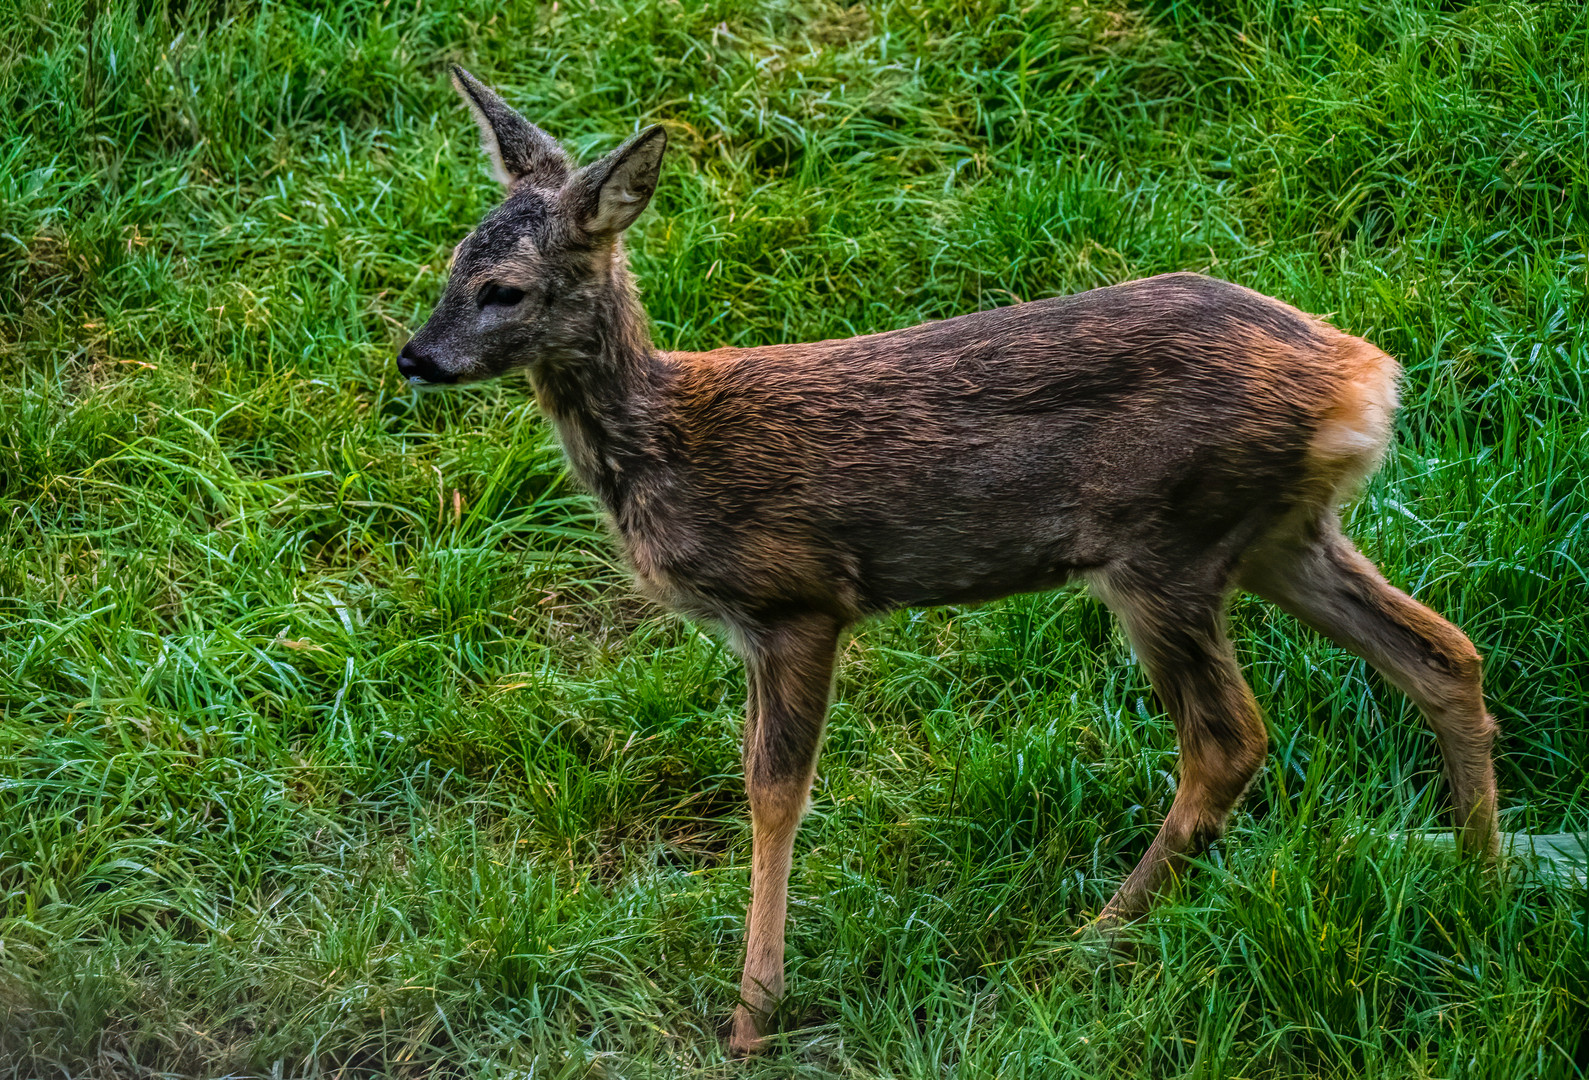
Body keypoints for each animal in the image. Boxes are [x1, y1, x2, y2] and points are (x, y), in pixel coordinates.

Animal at [400, 65, 1500, 1054]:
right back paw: (1476, 874)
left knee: (1230, 739)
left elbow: (772, 793)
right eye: (451, 263)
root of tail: (1364, 379)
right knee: (1441, 651)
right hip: (1276, 535)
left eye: (503, 290)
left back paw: (1090, 939)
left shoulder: (796, 599)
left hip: (1165, 545)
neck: (666, 443)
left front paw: (753, 1015)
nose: (415, 357)